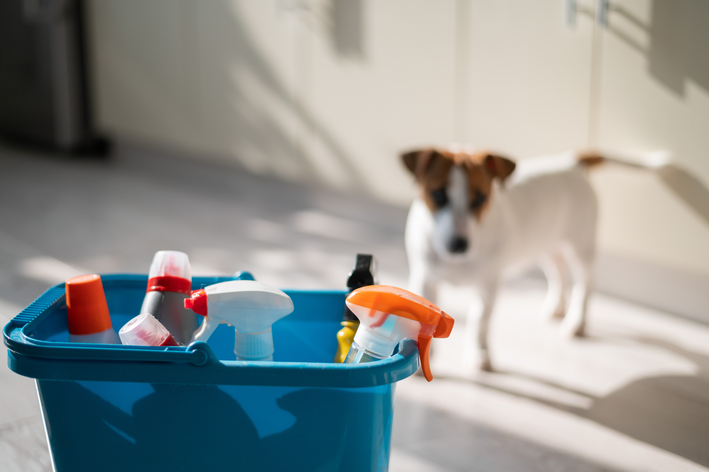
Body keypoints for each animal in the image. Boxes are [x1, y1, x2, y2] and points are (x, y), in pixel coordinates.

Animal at [404, 148, 664, 372]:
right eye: (438, 194)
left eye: (480, 199)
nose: (459, 245)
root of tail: (571, 162)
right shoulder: (426, 281)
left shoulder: (488, 286)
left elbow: (480, 321)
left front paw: (479, 354)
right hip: (547, 245)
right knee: (559, 272)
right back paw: (556, 307)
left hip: (581, 246)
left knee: (586, 281)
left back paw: (577, 322)